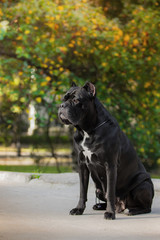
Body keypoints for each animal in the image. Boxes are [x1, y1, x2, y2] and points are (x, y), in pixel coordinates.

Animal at [58, 82, 154, 219]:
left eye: (76, 100)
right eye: (63, 99)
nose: (61, 105)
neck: (87, 130)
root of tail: (121, 206)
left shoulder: (110, 165)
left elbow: (110, 193)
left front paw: (110, 213)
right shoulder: (82, 165)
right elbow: (82, 191)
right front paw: (79, 209)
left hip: (143, 184)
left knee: (146, 207)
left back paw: (131, 210)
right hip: (98, 190)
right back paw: (99, 206)